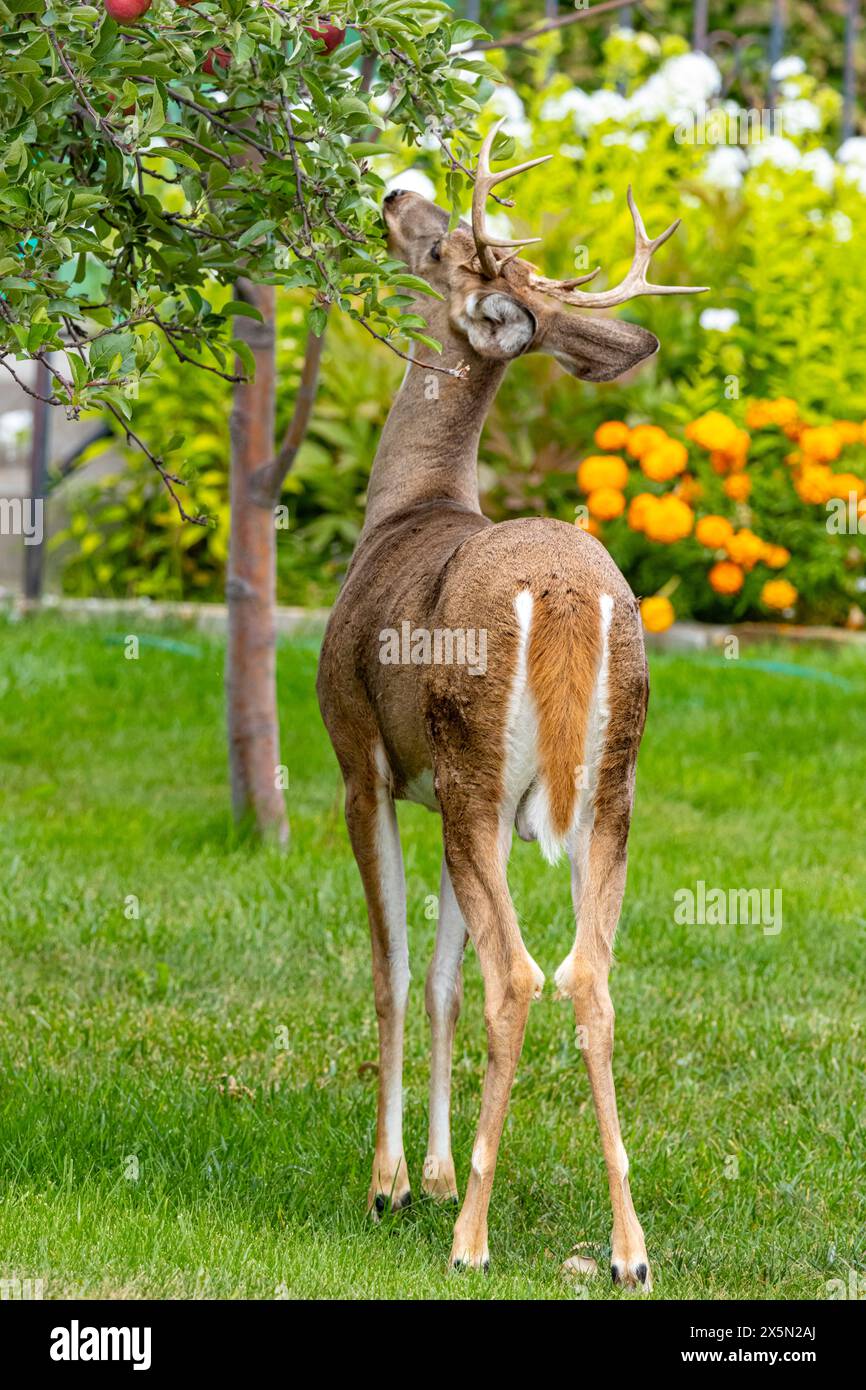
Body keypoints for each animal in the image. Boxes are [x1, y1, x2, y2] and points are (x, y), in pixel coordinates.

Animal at [315, 125, 708, 1284]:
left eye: (445, 243)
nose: (394, 193)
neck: (407, 510)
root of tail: (569, 595)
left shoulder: (364, 763)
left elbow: (399, 968)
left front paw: (396, 1183)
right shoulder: (452, 800)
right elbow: (441, 974)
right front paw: (439, 1172)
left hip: (476, 762)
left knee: (518, 975)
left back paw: (471, 1242)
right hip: (602, 785)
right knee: (590, 976)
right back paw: (627, 1251)